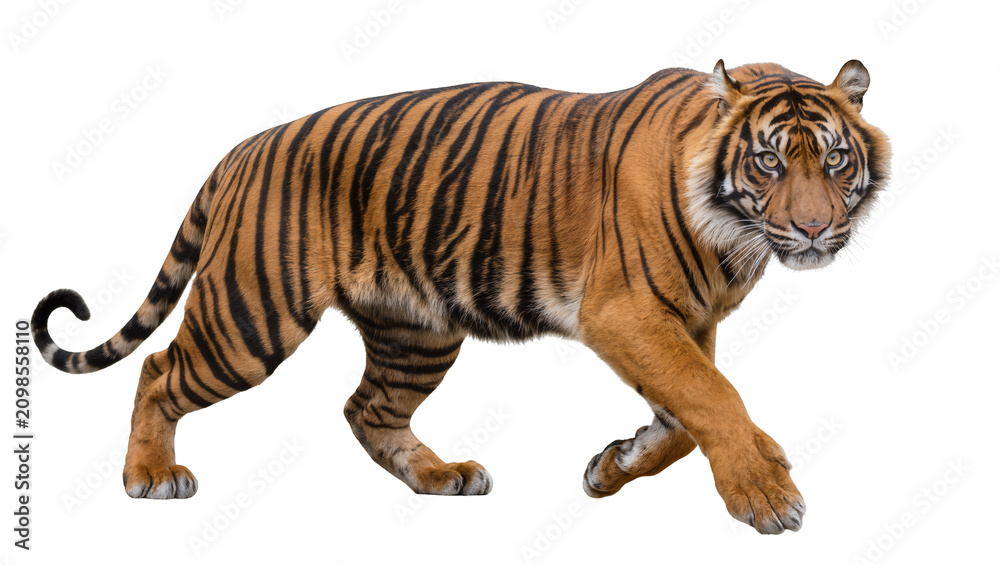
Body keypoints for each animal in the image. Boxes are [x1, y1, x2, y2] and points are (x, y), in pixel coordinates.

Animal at [31, 59, 890, 534]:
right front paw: (766, 493)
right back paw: (150, 475)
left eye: (835, 160)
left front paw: (614, 465)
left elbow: (689, 411)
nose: (814, 229)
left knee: (367, 408)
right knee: (159, 370)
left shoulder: (686, 322)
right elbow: (713, 397)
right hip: (252, 312)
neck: (734, 235)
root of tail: (245, 147)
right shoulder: (629, 314)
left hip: (417, 330)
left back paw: (442, 475)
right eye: (771, 163)